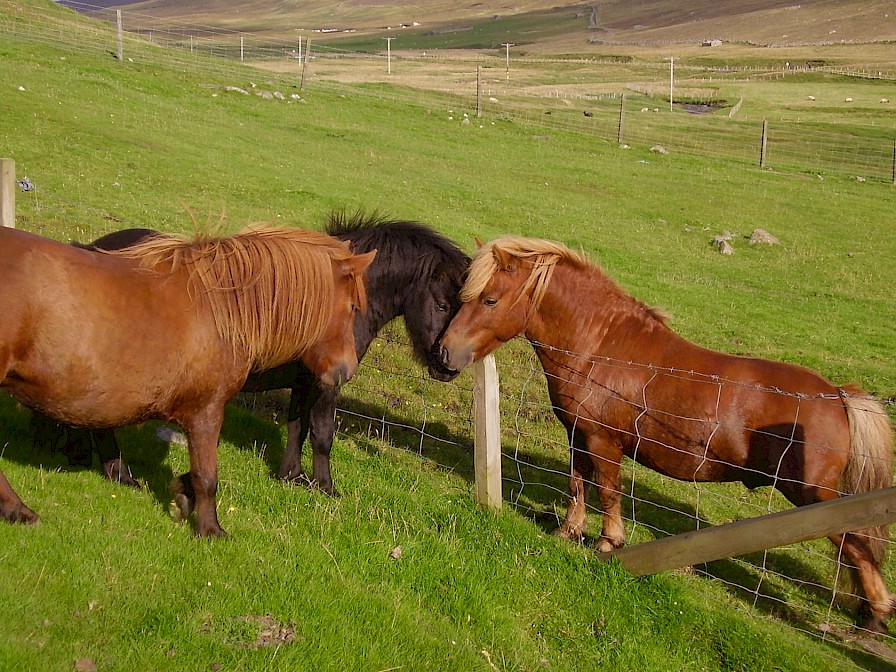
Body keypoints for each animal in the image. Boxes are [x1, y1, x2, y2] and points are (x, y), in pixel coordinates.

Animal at [0, 224, 372, 536]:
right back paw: (19, 508)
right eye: (353, 307)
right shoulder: (206, 412)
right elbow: (207, 476)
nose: (344, 370)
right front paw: (210, 528)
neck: (222, 307)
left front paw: (182, 492)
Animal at [33, 213, 468, 496]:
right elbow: (322, 434)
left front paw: (291, 476)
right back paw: (118, 473)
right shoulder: (326, 382)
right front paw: (326, 488)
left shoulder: (305, 379)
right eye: (443, 304)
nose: (449, 364)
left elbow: (297, 426)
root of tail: (90, 248)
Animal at [440, 236, 896, 636]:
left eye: (490, 299)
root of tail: (838, 395)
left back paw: (875, 615)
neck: (602, 348)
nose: (445, 352)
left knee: (857, 544)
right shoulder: (577, 436)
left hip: (815, 496)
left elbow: (608, 490)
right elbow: (577, 484)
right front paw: (569, 531)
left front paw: (608, 543)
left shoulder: (604, 442)